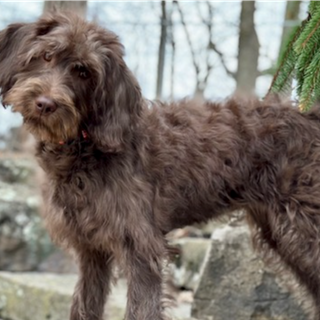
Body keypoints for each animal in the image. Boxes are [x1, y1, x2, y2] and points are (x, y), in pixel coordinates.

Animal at [0, 10, 320, 320]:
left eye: (83, 72)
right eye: (45, 56)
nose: (45, 104)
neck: (84, 147)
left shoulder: (141, 249)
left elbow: (141, 309)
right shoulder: (91, 251)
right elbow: (84, 305)